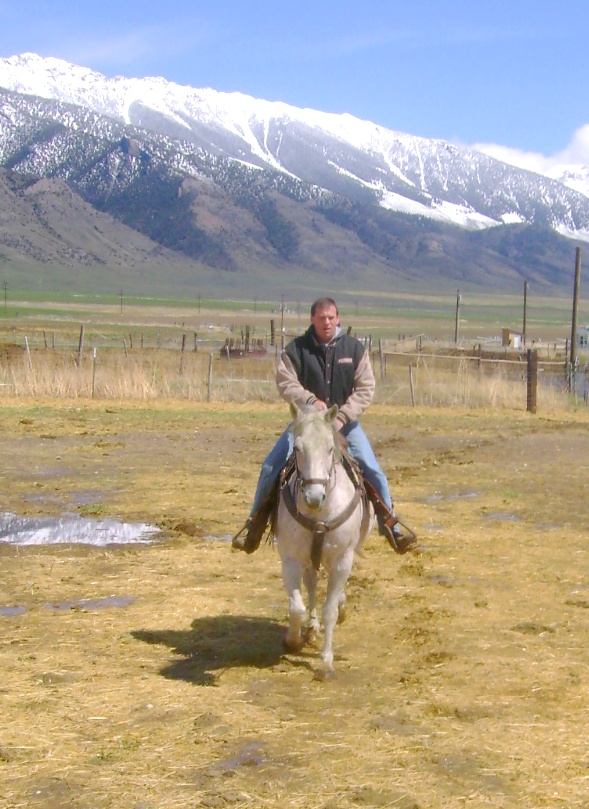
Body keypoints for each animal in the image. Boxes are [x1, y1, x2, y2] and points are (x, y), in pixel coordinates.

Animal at [274, 402, 374, 676]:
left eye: (330, 448)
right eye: (297, 448)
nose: (314, 497)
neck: (319, 514)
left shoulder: (341, 560)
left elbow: (329, 610)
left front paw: (326, 662)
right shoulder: (291, 560)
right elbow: (296, 607)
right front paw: (293, 640)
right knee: (310, 584)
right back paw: (311, 628)